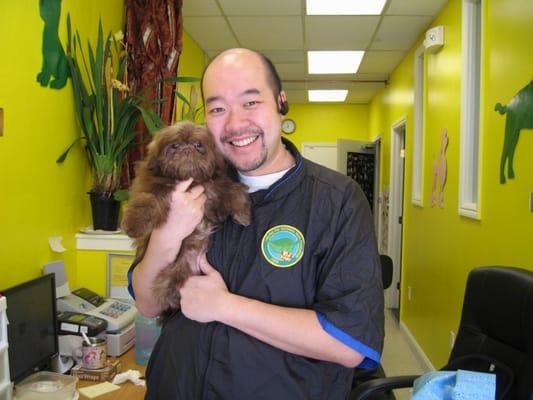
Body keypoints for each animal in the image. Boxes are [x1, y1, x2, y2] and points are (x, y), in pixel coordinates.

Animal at [122, 120, 251, 314]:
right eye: (174, 146)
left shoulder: (214, 188)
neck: (191, 180)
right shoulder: (153, 187)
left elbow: (233, 191)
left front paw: (243, 214)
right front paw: (134, 225)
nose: (187, 148)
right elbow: (146, 201)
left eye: (198, 145)